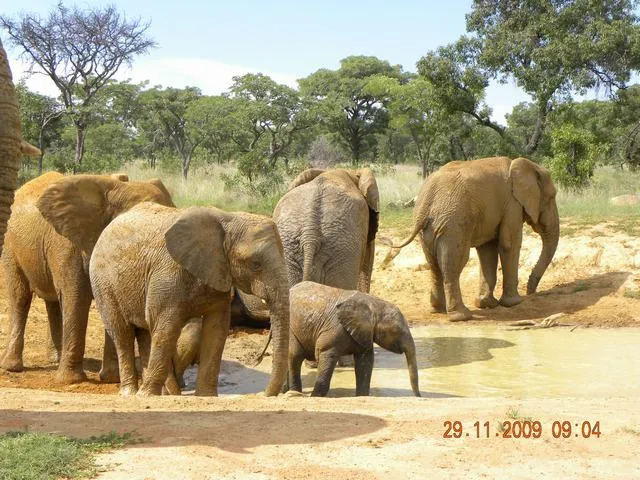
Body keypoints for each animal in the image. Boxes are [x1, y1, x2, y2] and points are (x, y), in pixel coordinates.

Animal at [0, 172, 174, 383]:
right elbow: (77, 297)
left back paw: (55, 358)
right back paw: (12, 367)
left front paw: (111, 378)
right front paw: (70, 381)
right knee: (20, 296)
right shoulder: (68, 246)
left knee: (53, 301)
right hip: (11, 243)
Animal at [87, 203, 290, 396]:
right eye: (255, 264)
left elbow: (216, 329)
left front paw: (206, 396)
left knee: (144, 332)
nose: (265, 394)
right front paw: (147, 395)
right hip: (103, 284)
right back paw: (131, 393)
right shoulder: (167, 275)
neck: (227, 219)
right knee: (122, 333)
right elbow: (166, 327)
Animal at [286, 281, 420, 397]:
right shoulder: (335, 329)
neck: (374, 304)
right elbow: (326, 356)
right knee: (295, 356)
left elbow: (365, 363)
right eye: (397, 331)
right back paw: (294, 393)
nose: (419, 397)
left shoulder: (364, 334)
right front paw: (316, 397)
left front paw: (361, 396)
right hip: (292, 329)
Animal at [394, 156, 560, 322]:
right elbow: (509, 244)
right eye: (552, 197)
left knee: (434, 265)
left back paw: (438, 310)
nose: (531, 292)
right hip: (453, 224)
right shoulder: (512, 204)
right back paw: (462, 316)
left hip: (428, 230)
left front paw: (487, 304)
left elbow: (487, 250)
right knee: (455, 263)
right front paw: (514, 303)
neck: (526, 165)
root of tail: (425, 203)